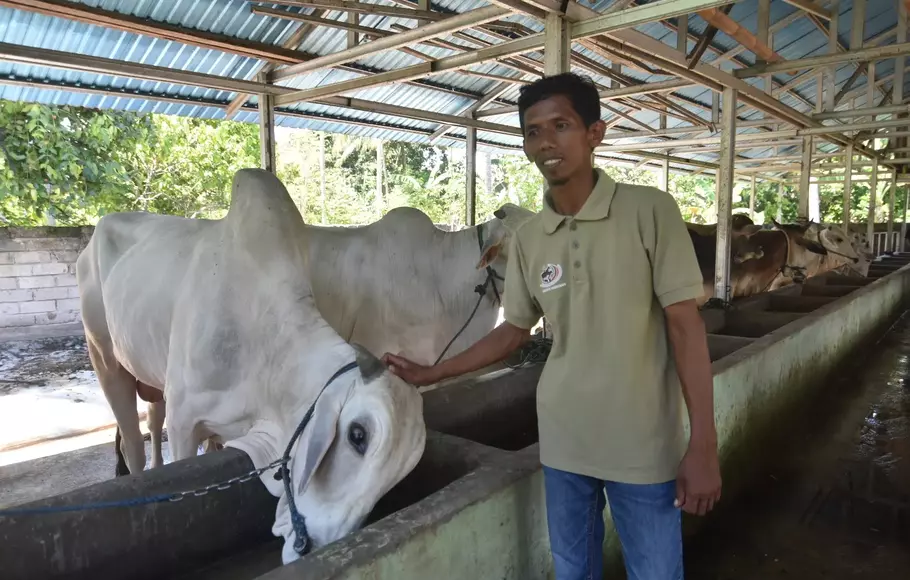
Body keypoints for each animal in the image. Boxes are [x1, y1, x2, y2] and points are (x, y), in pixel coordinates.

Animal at [75, 170, 428, 564]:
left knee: (151, 420)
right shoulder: (183, 422)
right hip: (104, 358)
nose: (311, 546)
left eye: (399, 475)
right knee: (132, 441)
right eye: (358, 435)